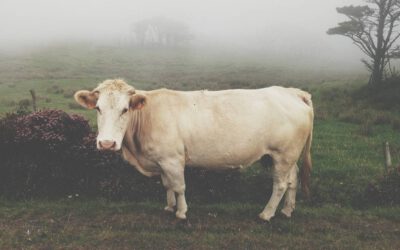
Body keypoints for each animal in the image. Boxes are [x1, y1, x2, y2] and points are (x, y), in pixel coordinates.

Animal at [74, 78, 312, 221]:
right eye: (98, 108)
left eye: (125, 109)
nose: (106, 143)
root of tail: (291, 92)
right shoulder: (162, 161)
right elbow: (167, 184)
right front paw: (169, 207)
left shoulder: (173, 160)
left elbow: (179, 186)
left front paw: (181, 212)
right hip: (285, 157)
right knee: (292, 180)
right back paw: (287, 210)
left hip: (283, 154)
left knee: (280, 184)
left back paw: (266, 214)